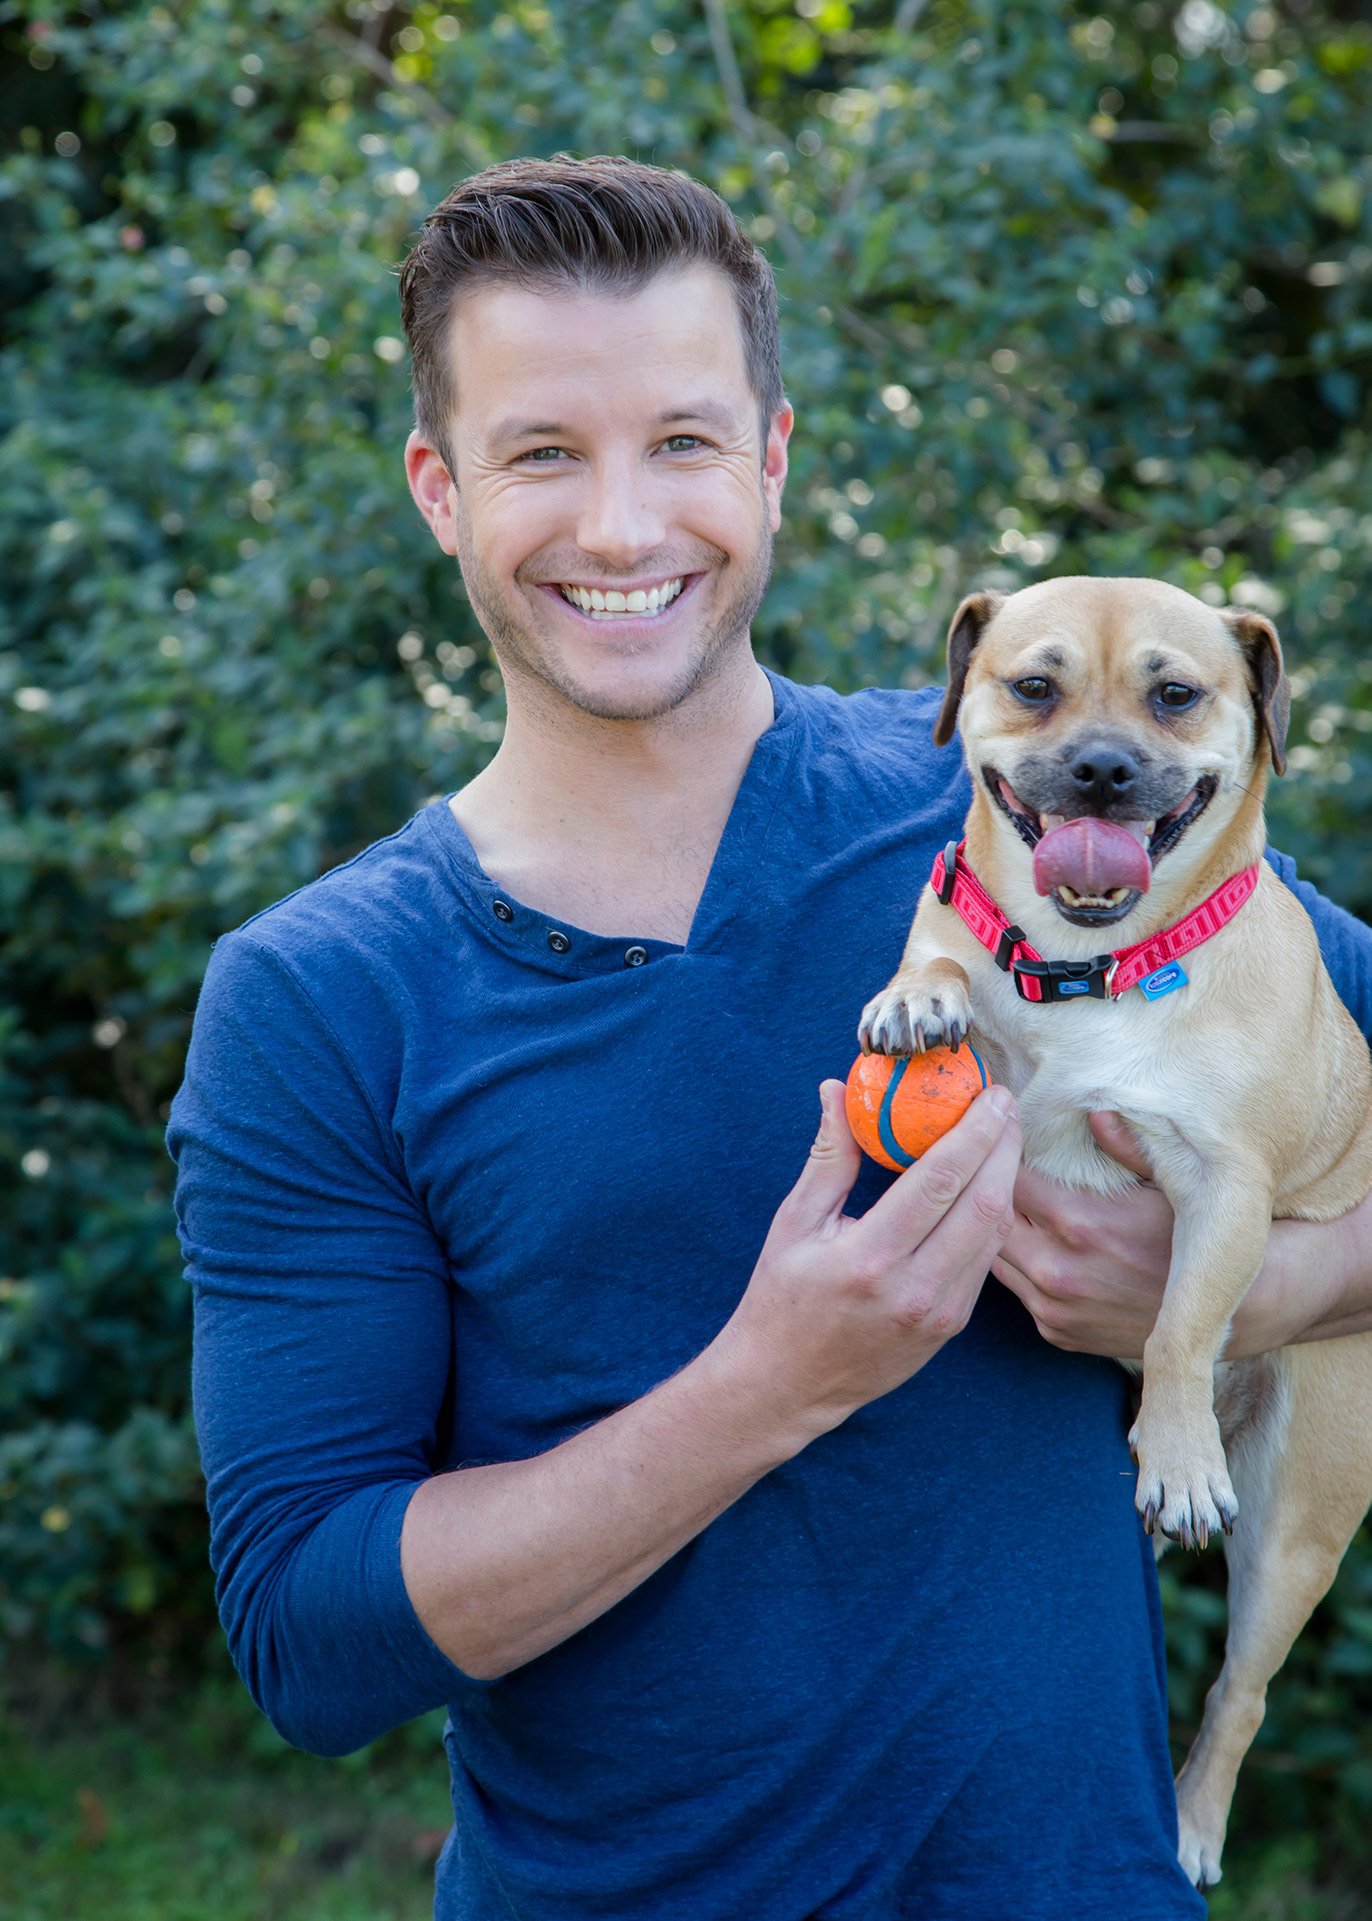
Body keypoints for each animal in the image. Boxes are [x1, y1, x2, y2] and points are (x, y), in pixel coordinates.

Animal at [853, 572, 1368, 1890]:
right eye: (1033, 686)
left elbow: (1182, 1320)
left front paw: (1177, 1454)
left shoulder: (1222, 1187)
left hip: (1296, 1522)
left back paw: (1190, 1825)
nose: (1097, 768)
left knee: (1240, 1693)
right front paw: (919, 995)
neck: (1087, 968)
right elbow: (942, 958)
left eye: (1175, 695)